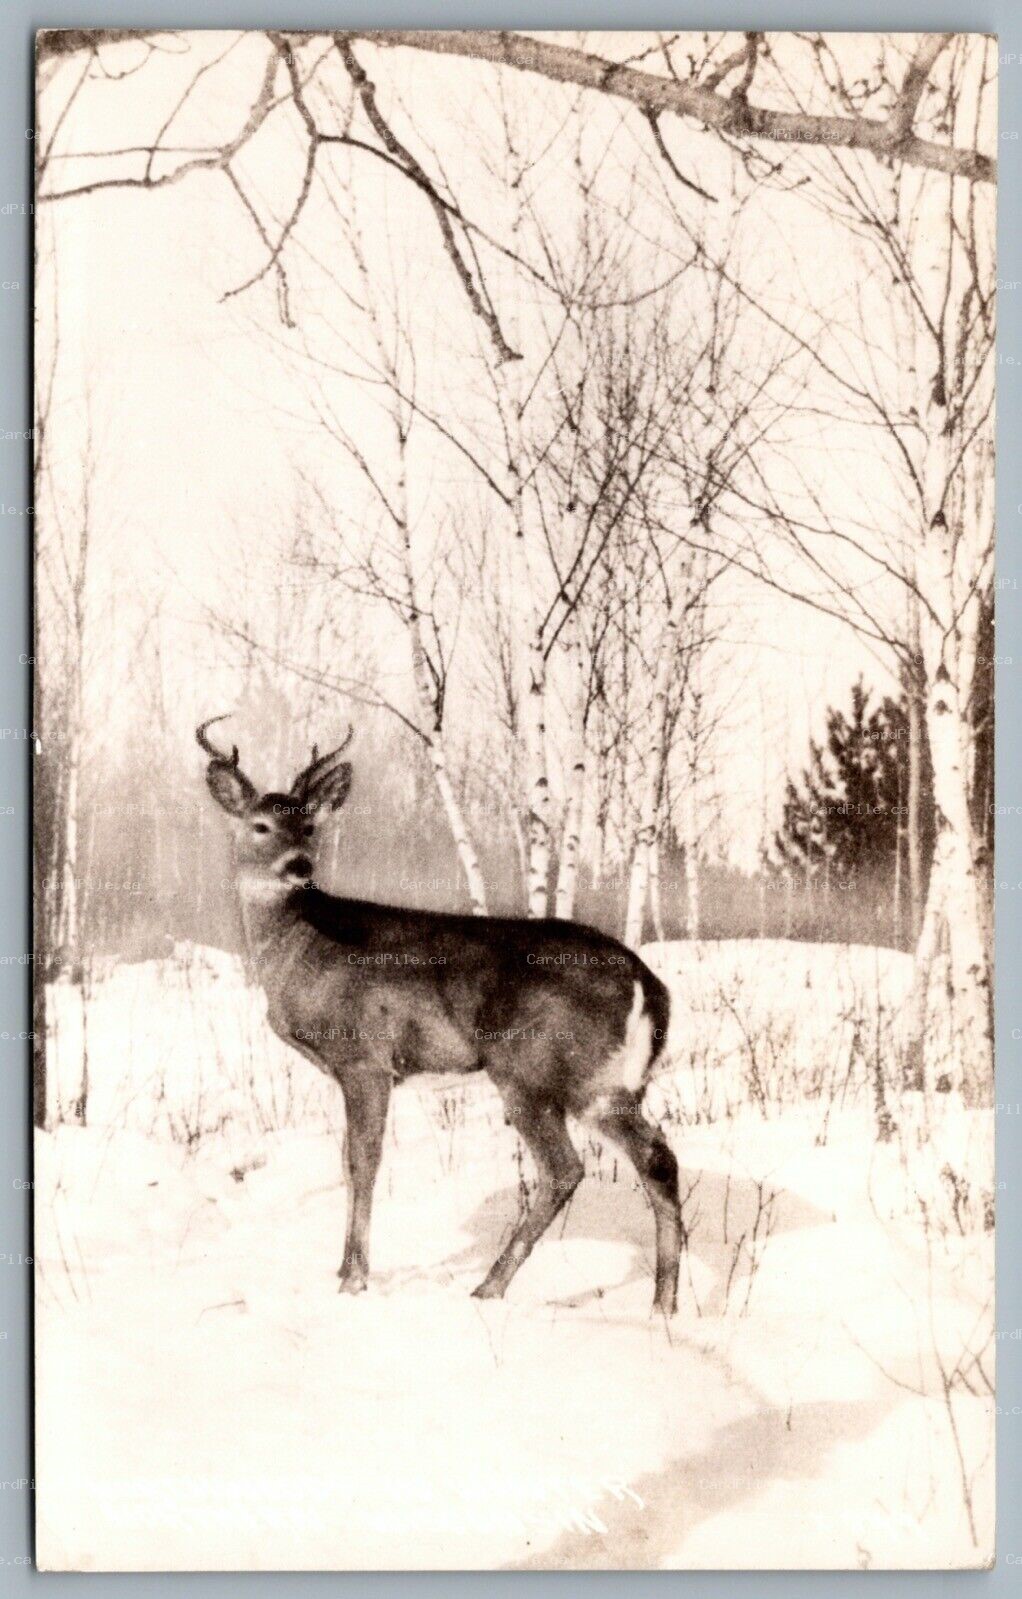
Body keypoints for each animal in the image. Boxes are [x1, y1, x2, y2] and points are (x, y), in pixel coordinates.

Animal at [196, 715, 683, 1314]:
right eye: (261, 825)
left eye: (308, 827)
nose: (299, 865)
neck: (299, 946)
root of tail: (647, 981)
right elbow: (344, 1160)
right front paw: (342, 1269)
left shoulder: (365, 1058)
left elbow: (362, 1162)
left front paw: (354, 1278)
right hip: (604, 1084)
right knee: (657, 1158)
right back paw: (663, 1305)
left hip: (531, 1070)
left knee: (564, 1167)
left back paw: (489, 1287)